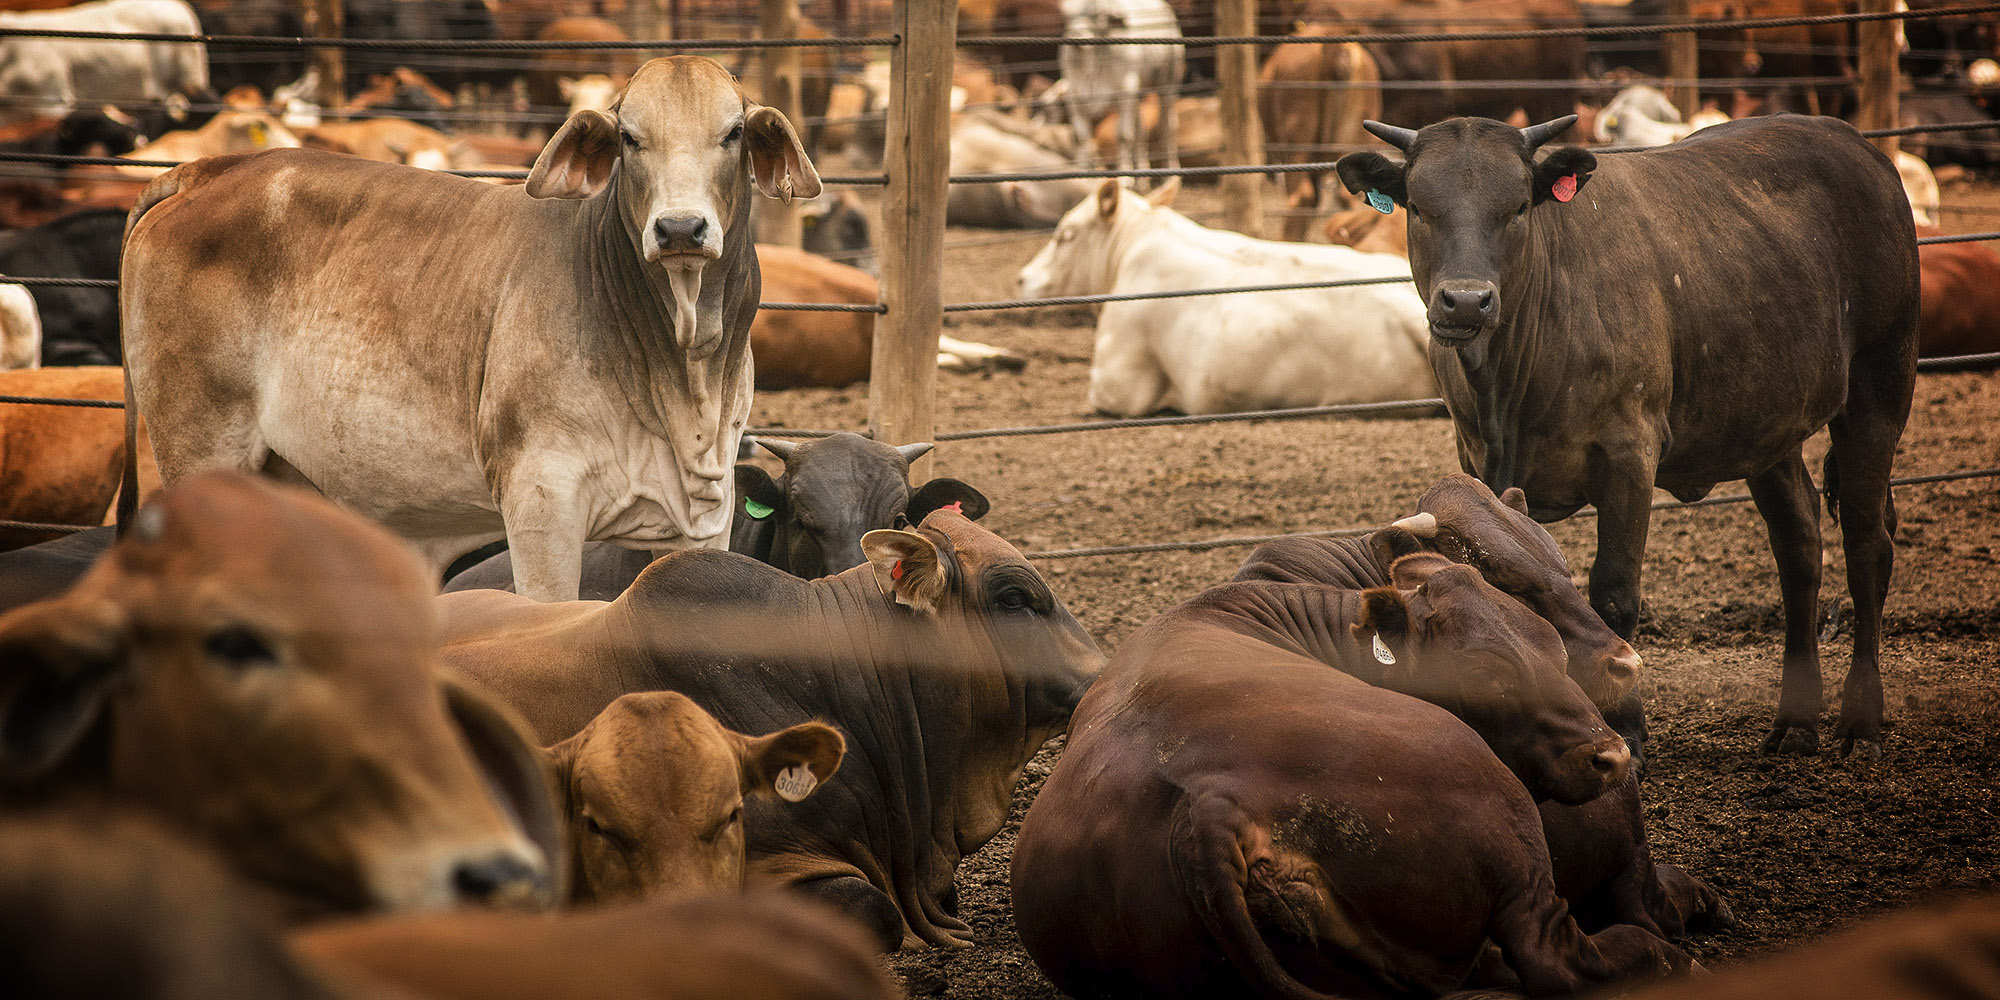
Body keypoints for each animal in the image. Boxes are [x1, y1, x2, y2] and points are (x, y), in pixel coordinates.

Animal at [120, 56, 823, 603]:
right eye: (629, 137)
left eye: (733, 132)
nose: (680, 228)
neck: (681, 371)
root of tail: (208, 170)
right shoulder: (541, 503)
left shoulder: (706, 514)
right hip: (200, 445)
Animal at [1012, 556, 1691, 999]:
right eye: (1485, 673)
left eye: (1552, 645)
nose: (1611, 756)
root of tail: (1209, 809)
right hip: (1502, 810)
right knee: (1556, 957)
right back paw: (1663, 952)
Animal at [1058, 0, 1184, 171]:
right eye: (1069, 16)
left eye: (1098, 15)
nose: (1076, 34)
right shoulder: (1075, 97)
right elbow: (1080, 137)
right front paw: (1082, 171)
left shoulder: (1126, 93)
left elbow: (1123, 136)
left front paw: (1124, 173)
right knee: (1140, 128)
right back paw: (1142, 172)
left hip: (1168, 83)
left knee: (1168, 125)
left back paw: (1171, 169)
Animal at [1336, 114, 1919, 757]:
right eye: (1418, 207)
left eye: (1518, 206)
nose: (1467, 300)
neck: (1507, 385)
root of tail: (1861, 148)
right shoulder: (1475, 460)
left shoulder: (1629, 456)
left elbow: (1615, 593)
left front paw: (1629, 730)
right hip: (1769, 425)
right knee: (1798, 543)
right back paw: (1795, 723)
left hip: (1881, 380)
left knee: (1866, 542)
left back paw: (1860, 722)